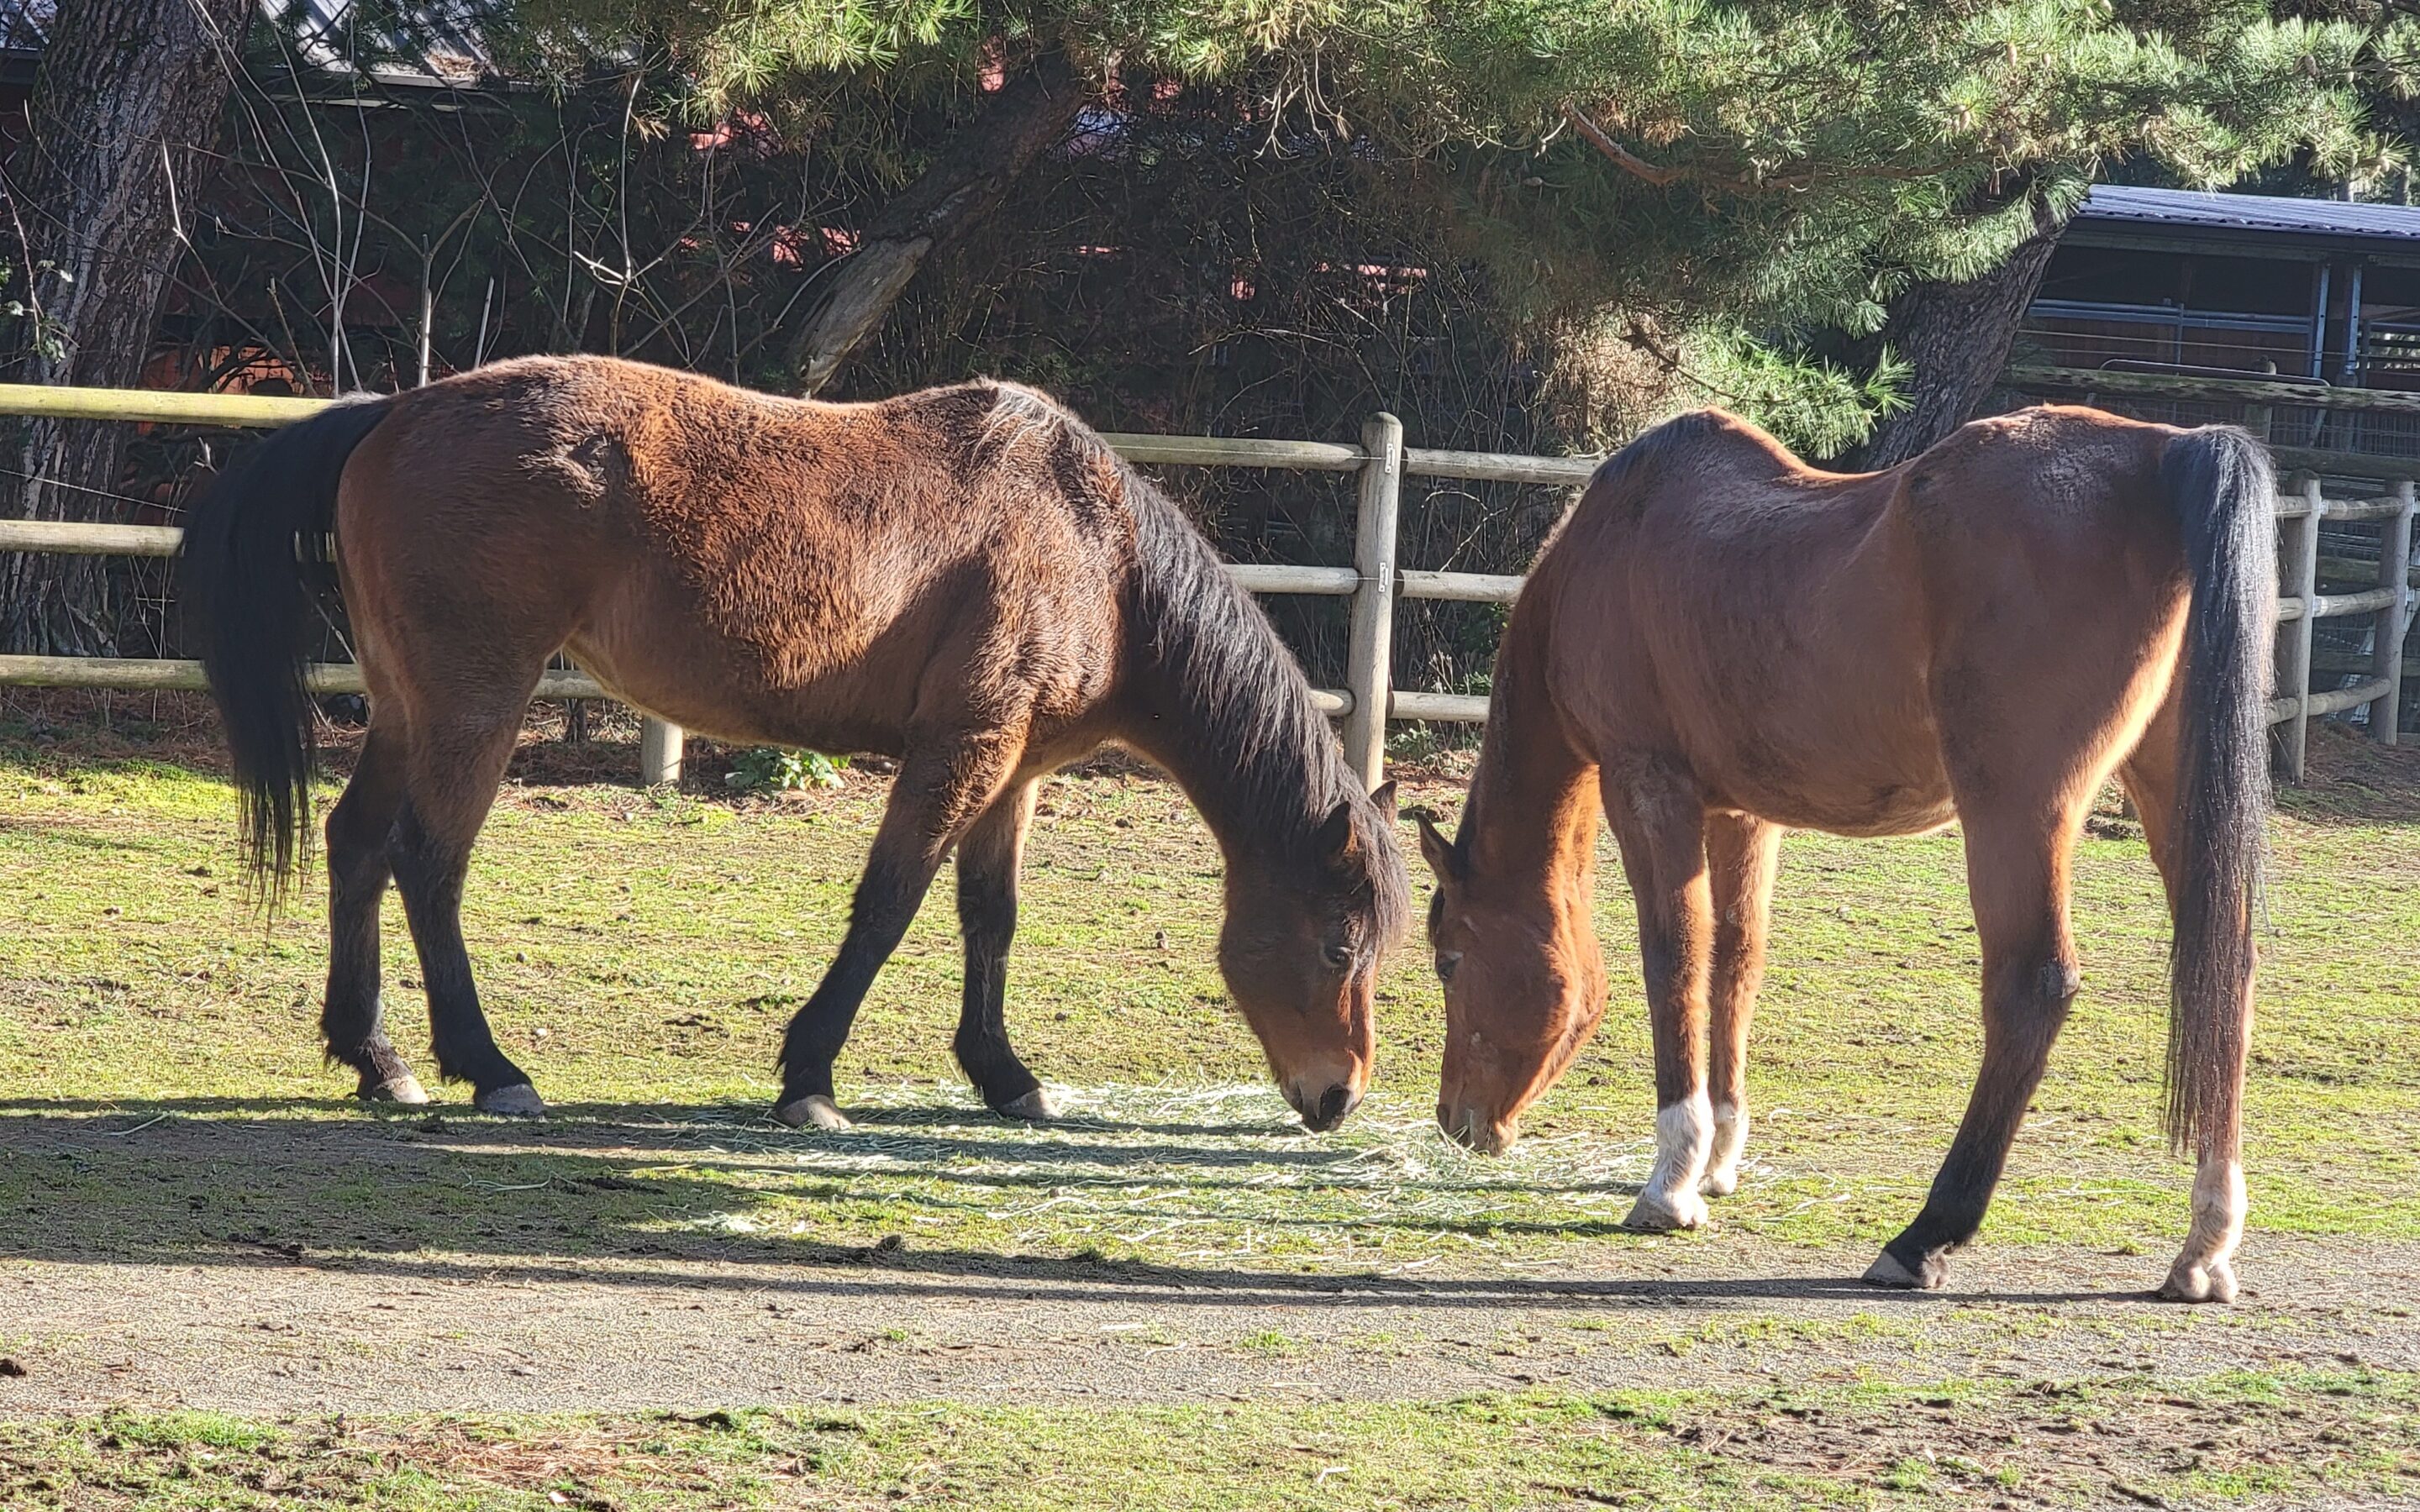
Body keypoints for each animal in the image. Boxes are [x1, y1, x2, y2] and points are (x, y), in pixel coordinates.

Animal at [188, 355, 1413, 1131]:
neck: (1095, 552)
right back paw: (490, 1070)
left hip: (408, 705)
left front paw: (1004, 1076)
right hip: (475, 705)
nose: (1341, 1096)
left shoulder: (1014, 770)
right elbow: (889, 906)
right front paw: (810, 1078)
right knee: (427, 864)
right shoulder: (962, 748)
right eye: (1337, 946)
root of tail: (393, 412)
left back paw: (376, 1059)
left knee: (356, 846)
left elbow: (991, 919)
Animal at [1413, 403, 2265, 1296]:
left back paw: (1926, 1234)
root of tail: (2163, 451)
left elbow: (1673, 956)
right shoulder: (1742, 815)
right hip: (2173, 800)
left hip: (2015, 809)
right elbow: (1734, 959)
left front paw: (1672, 1183)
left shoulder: (1648, 788)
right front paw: (1719, 1158)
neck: (1614, 542)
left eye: (1449, 961)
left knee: (2033, 986)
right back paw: (2204, 1245)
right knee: (2224, 975)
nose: (1455, 1121)